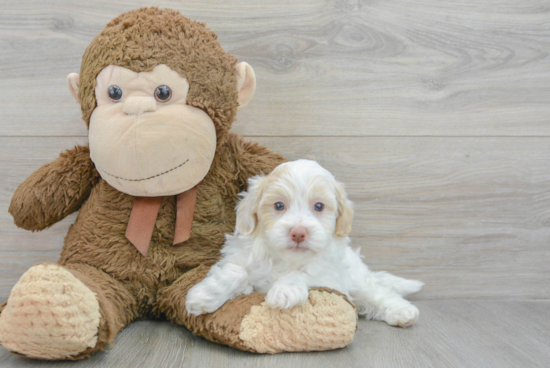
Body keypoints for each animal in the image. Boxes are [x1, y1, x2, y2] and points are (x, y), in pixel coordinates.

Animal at [188, 160, 424, 326]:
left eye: (319, 206)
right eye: (279, 205)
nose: (298, 233)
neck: (285, 260)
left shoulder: (329, 276)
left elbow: (305, 273)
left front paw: (285, 291)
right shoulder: (239, 256)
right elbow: (236, 272)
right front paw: (204, 295)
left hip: (358, 280)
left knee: (378, 293)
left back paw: (402, 311)